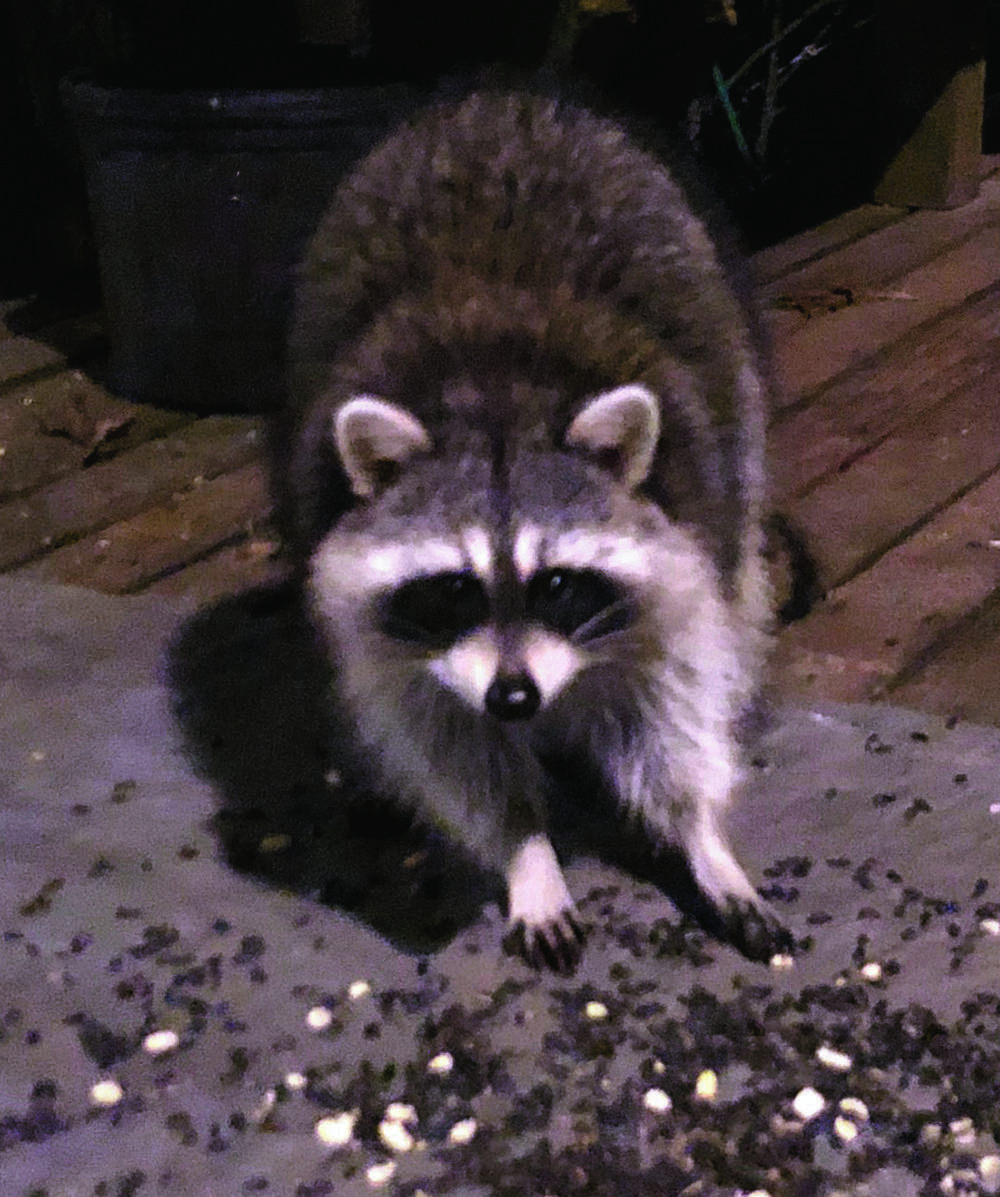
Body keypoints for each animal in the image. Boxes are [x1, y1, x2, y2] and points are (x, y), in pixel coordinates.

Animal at [285, 90, 790, 972]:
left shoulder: (687, 548)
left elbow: (672, 712)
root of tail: (500, 95)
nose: (514, 697)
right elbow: (447, 739)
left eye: (556, 582)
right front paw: (527, 851)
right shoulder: (395, 640)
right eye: (454, 588)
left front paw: (702, 837)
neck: (496, 403)